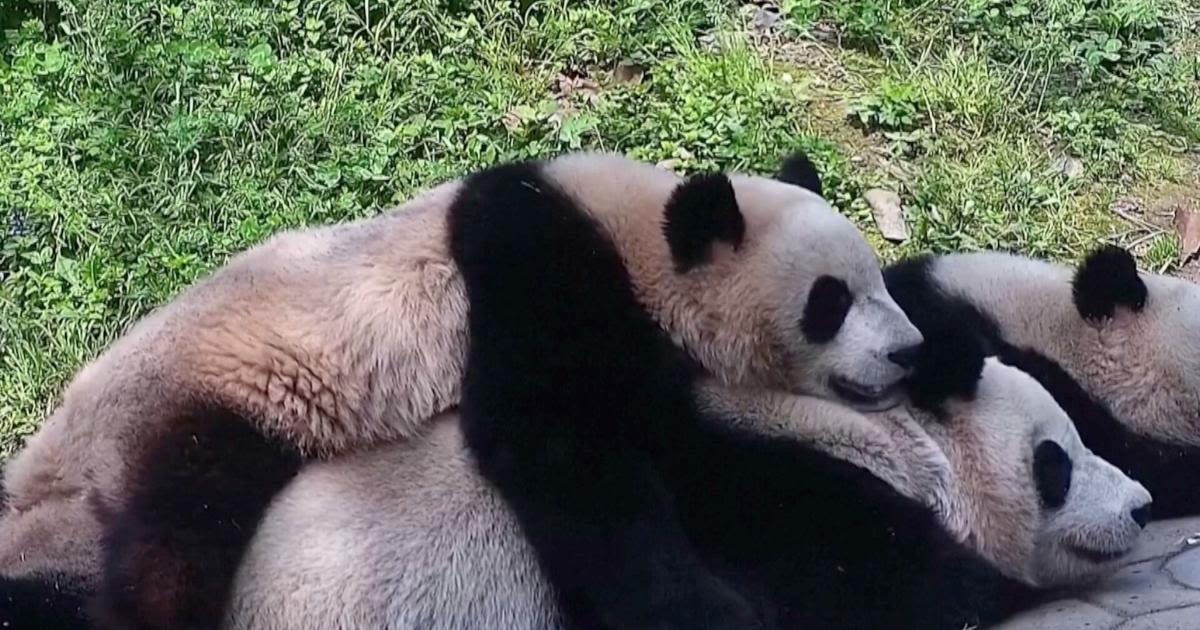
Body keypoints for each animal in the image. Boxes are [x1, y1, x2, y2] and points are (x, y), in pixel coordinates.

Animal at [0, 153, 921, 628]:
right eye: (830, 301)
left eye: (882, 280)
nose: (910, 352)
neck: (641, 234)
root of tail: (45, 471)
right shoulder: (536, 262)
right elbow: (559, 447)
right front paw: (709, 611)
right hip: (192, 411)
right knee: (168, 548)